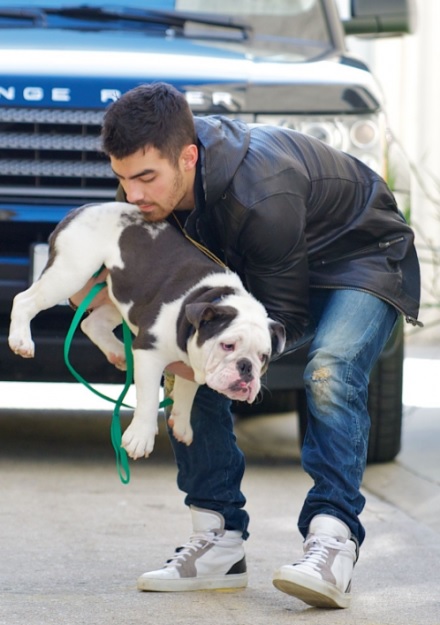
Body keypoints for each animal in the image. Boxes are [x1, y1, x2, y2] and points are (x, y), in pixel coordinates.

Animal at [10, 202, 288, 456]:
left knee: (92, 323)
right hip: (71, 273)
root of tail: (83, 208)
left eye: (264, 357)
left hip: (122, 294)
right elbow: (149, 398)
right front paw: (140, 438)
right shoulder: (150, 353)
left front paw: (182, 426)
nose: (246, 367)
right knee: (24, 300)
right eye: (227, 345)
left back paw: (119, 353)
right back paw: (21, 341)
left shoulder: (192, 361)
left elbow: (187, 392)